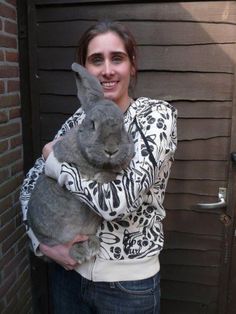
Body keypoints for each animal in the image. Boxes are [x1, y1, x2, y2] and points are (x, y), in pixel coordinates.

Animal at [27, 62, 135, 264]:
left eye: (123, 125)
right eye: (92, 124)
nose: (111, 149)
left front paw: (104, 175)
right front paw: (100, 177)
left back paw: (92, 245)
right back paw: (83, 251)